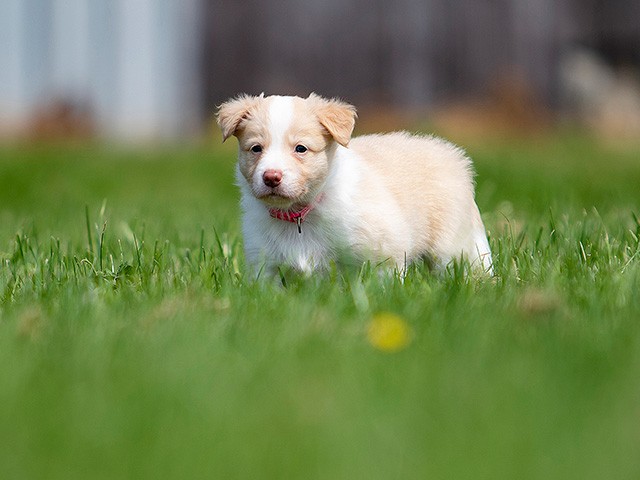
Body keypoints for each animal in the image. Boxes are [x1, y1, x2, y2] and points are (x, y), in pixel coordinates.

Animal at [217, 93, 492, 277]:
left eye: (300, 149)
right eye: (256, 148)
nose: (271, 177)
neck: (300, 215)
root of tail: (453, 154)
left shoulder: (385, 254)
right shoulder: (266, 267)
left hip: (454, 246)